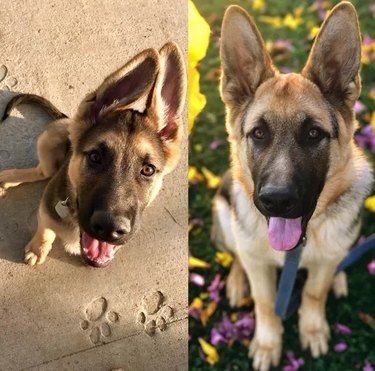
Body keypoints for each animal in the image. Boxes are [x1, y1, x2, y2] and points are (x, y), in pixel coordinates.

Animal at [0, 42, 188, 268]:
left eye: (148, 170)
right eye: (95, 157)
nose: (109, 229)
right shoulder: (46, 210)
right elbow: (46, 229)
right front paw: (38, 248)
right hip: (53, 132)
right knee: (42, 172)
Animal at [213, 2, 374, 371]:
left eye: (313, 133)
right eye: (258, 133)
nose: (276, 200)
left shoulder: (321, 266)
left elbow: (314, 292)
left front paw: (312, 329)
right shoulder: (260, 267)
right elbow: (264, 303)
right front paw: (267, 344)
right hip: (224, 212)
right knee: (237, 254)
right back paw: (236, 281)